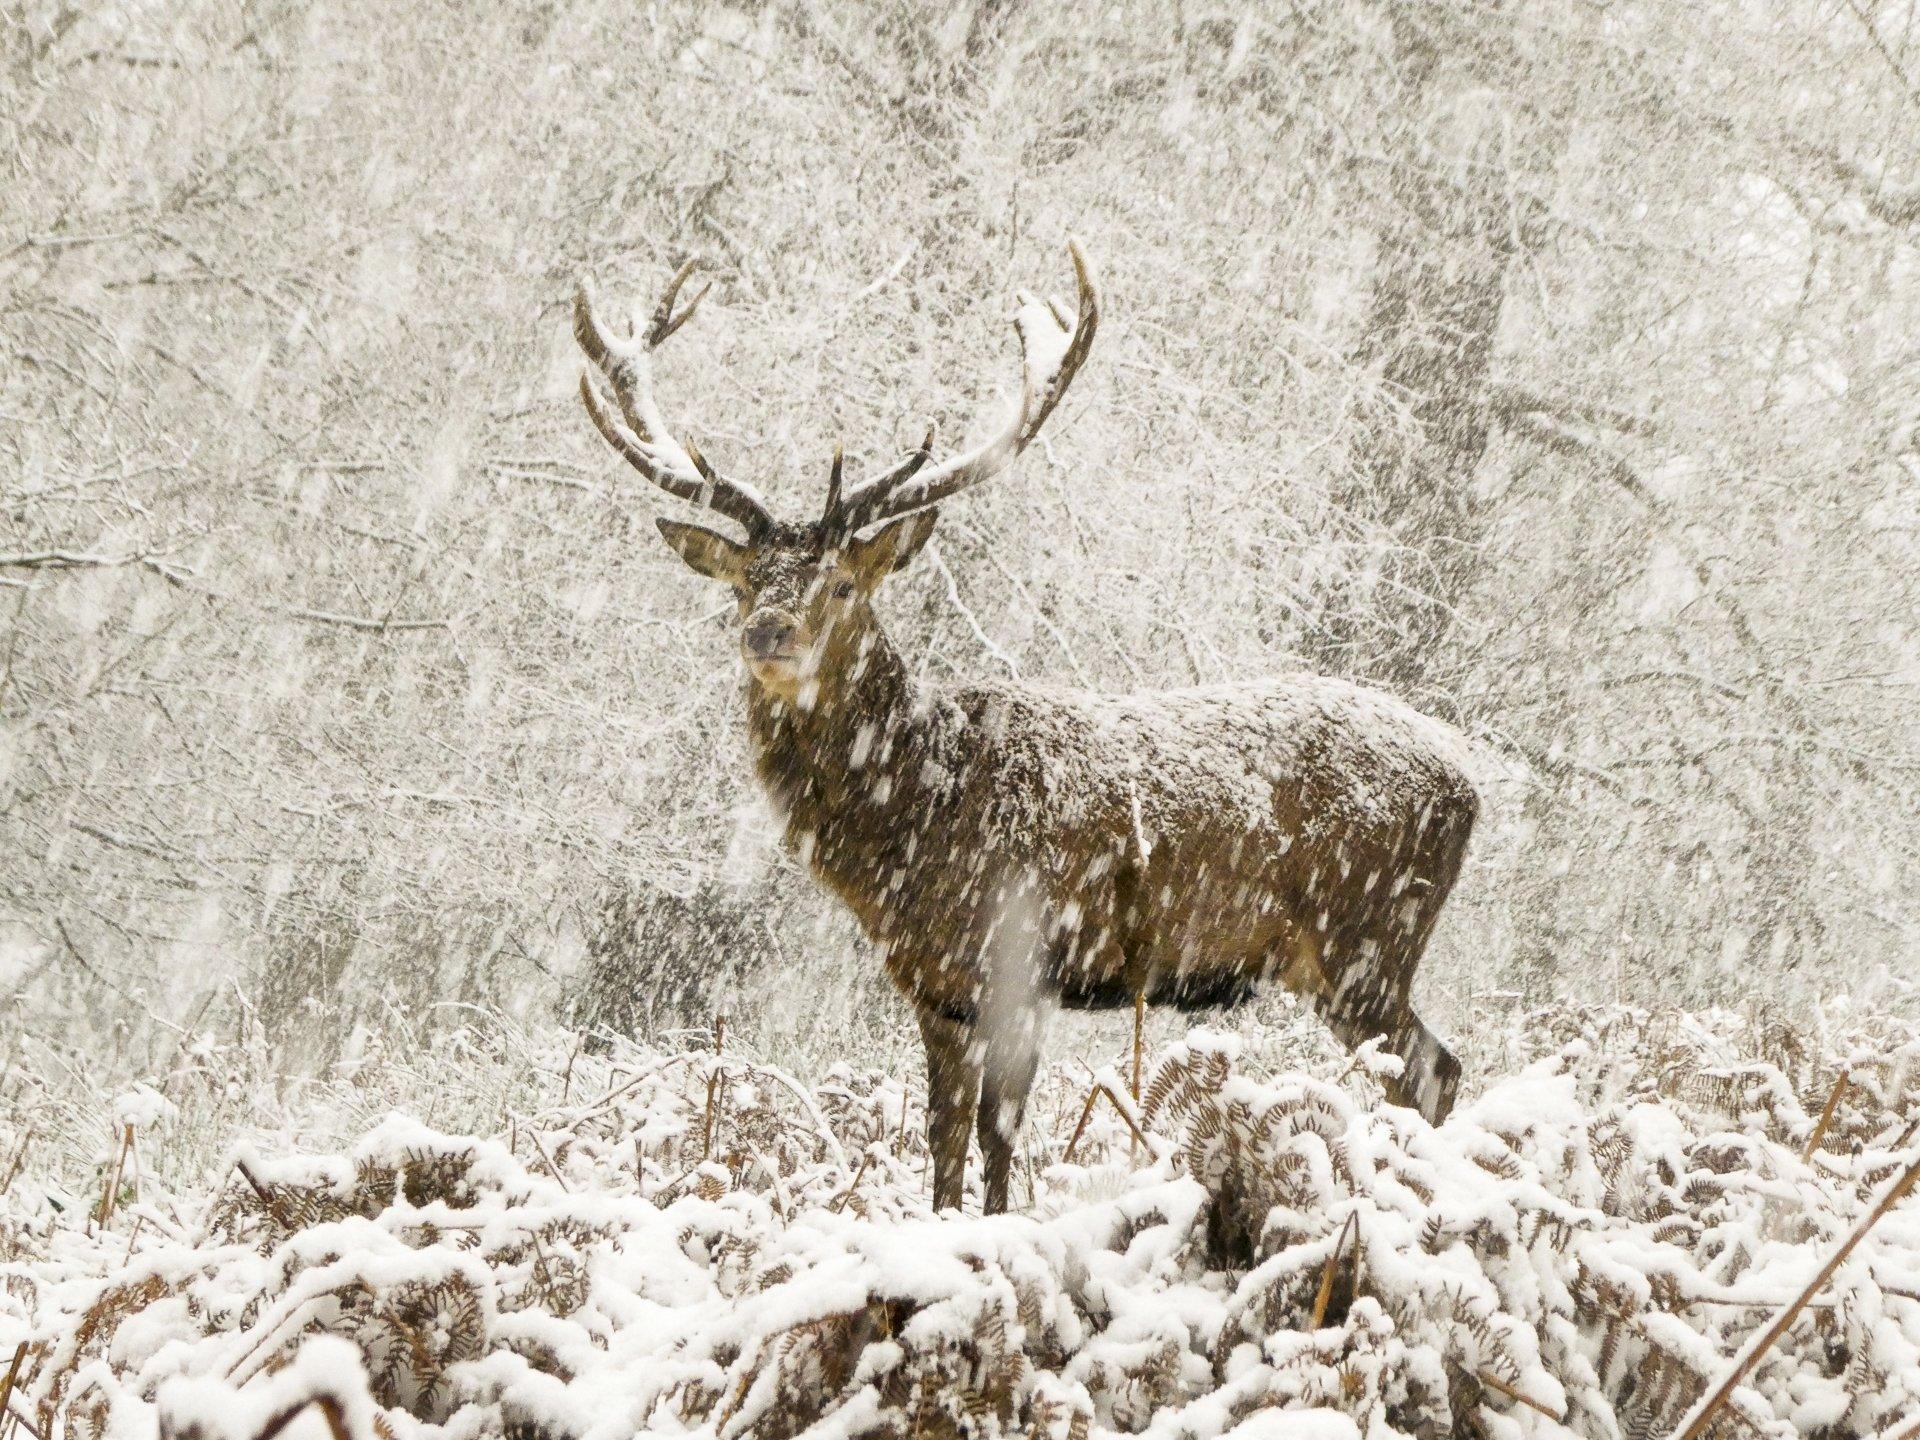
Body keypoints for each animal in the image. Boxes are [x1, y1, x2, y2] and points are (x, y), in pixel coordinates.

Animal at [564, 247, 1466, 1221]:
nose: (768, 631)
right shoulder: (938, 986)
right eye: (741, 582)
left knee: (1429, 1069)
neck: (913, 824)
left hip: (1366, 938)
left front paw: (995, 1234)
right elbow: (944, 1135)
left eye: (844, 583)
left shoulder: (1023, 957)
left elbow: (1001, 1133)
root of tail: (1471, 782)